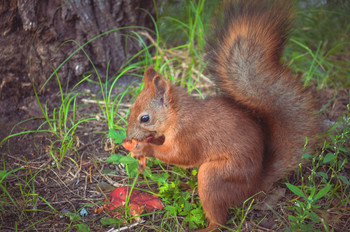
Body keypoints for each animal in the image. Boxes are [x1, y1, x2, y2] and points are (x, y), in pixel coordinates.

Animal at [123, 0, 320, 231]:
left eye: (145, 118)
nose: (128, 136)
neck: (178, 115)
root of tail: (254, 187)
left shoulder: (189, 136)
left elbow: (180, 156)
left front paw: (144, 148)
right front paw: (145, 142)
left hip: (214, 176)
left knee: (220, 219)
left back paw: (207, 226)